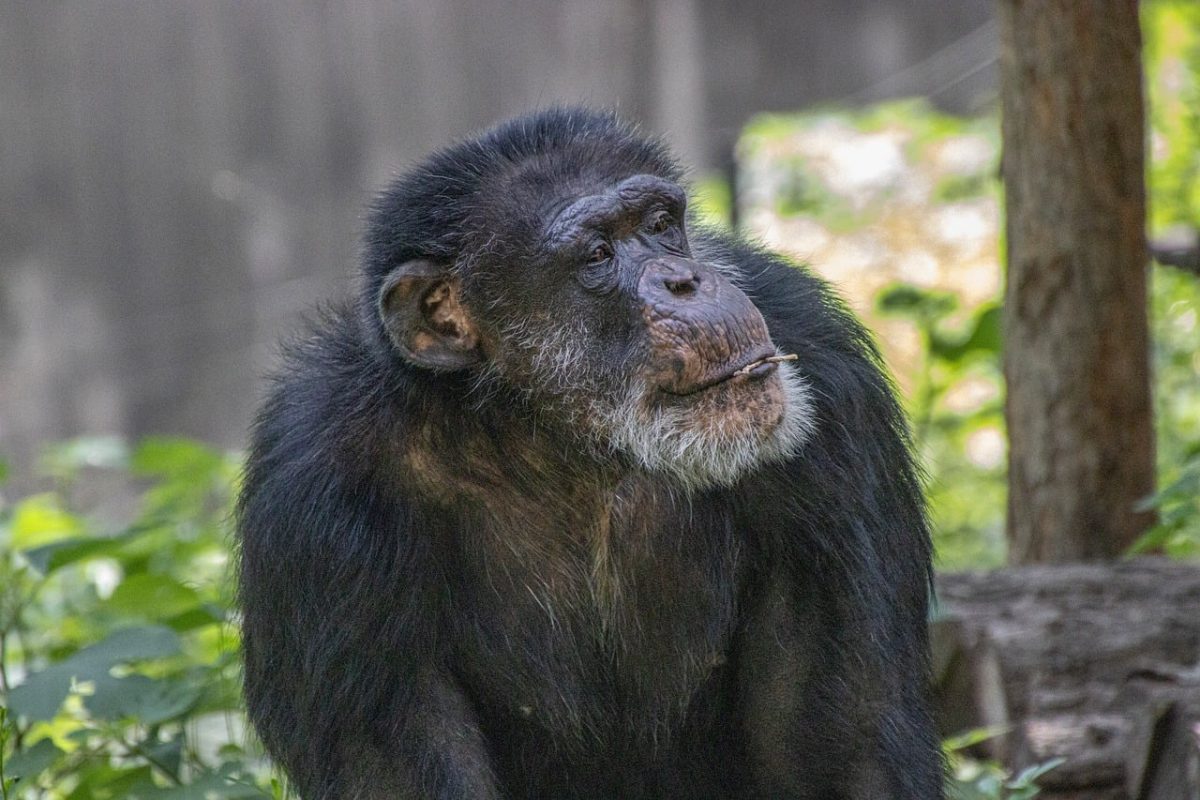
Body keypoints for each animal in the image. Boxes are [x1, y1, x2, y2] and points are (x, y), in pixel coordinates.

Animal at [237, 107, 941, 799]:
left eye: (659, 225)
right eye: (598, 255)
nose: (684, 281)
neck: (563, 441)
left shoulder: (828, 390)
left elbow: (848, 747)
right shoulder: (316, 501)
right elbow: (392, 770)